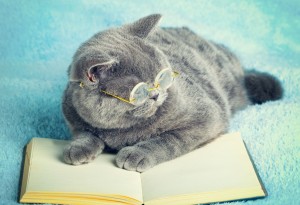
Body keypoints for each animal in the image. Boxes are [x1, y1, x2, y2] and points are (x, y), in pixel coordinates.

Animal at [61, 13, 284, 172]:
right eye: (139, 91)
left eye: (162, 76)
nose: (156, 95)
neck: (119, 130)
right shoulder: (72, 115)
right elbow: (84, 133)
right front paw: (78, 148)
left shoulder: (206, 116)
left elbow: (167, 140)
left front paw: (136, 154)